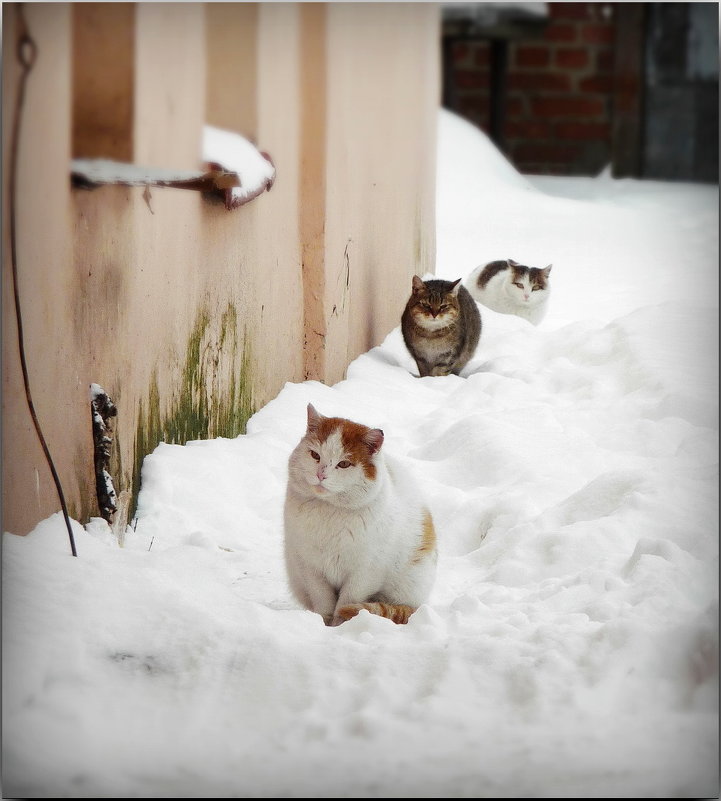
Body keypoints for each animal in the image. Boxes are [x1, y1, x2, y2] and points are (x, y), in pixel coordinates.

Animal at [284, 406, 436, 624]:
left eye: (343, 464)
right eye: (315, 455)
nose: (321, 474)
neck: (330, 511)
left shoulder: (364, 573)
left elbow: (347, 601)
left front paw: (339, 625)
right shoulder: (309, 567)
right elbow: (323, 601)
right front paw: (323, 623)